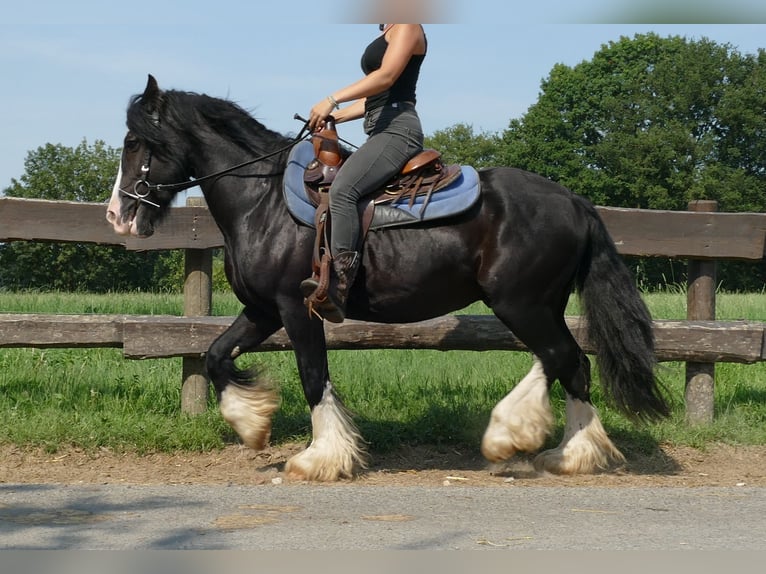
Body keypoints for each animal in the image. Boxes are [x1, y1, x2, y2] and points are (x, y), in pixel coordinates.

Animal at [105, 75, 668, 482]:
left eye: (136, 143)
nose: (117, 214)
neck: (262, 202)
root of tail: (573, 201)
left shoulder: (296, 308)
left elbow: (314, 377)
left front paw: (321, 458)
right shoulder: (262, 310)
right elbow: (216, 355)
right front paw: (253, 423)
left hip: (521, 303)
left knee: (559, 357)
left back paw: (511, 436)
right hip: (543, 304)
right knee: (574, 365)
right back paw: (572, 454)